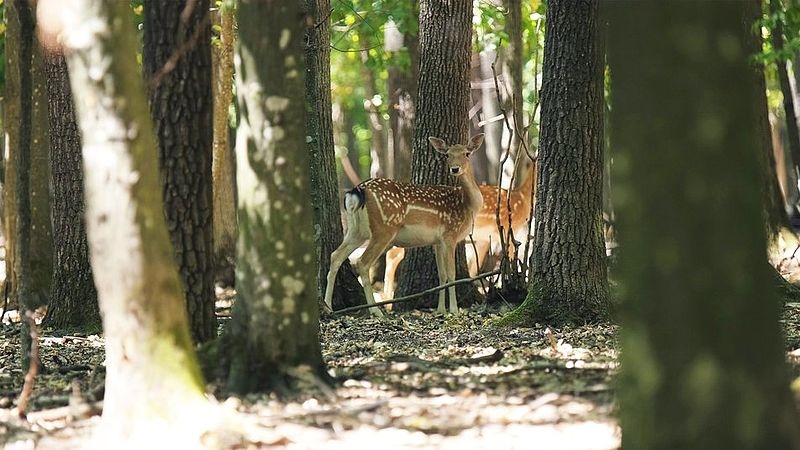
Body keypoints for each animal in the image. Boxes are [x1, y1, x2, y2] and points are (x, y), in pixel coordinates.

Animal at [322, 134, 484, 316]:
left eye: (467, 153)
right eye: (447, 155)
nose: (455, 169)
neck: (468, 205)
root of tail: (358, 190)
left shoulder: (437, 241)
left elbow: (441, 274)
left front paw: (440, 309)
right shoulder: (450, 233)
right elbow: (451, 274)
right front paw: (454, 310)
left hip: (356, 230)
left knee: (335, 256)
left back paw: (328, 306)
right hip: (384, 228)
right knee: (363, 263)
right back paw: (376, 311)